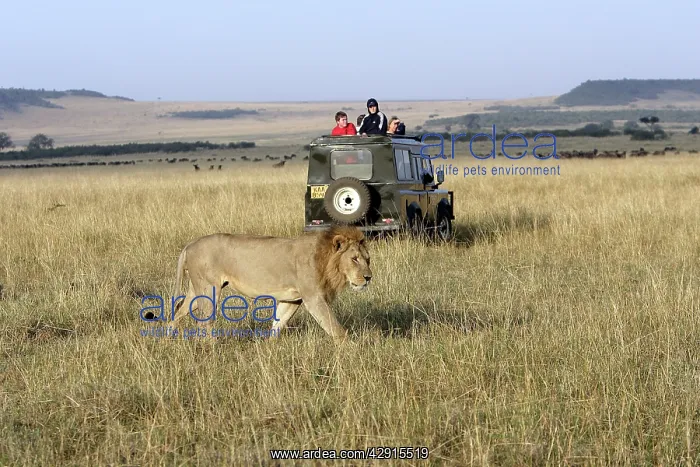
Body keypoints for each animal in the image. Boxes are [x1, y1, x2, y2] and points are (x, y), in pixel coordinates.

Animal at [170, 225, 372, 340]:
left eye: (368, 259)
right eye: (354, 259)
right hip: (209, 289)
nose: (369, 277)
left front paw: (268, 347)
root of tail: (190, 245)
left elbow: (278, 324)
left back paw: (168, 339)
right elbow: (336, 329)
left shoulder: (292, 299)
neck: (326, 260)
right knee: (204, 323)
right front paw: (351, 352)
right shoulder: (313, 298)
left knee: (178, 311)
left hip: (196, 290)